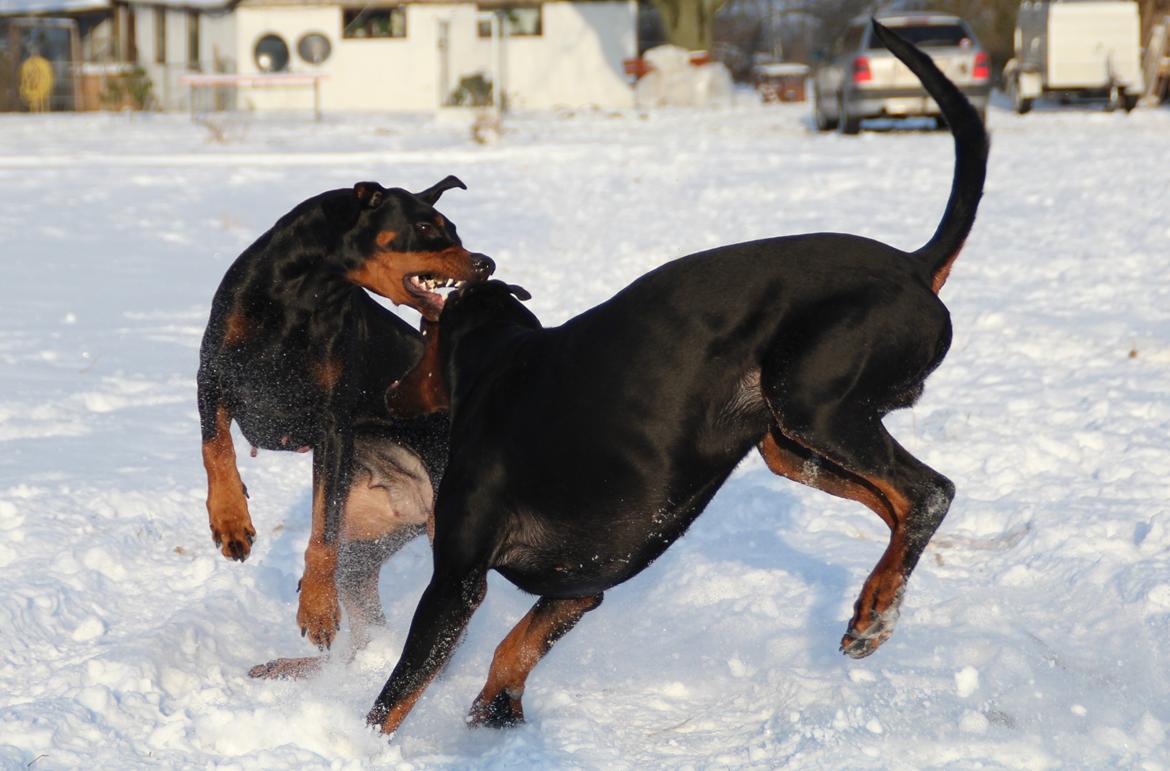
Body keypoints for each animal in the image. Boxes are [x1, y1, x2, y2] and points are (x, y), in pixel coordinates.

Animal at [198, 177, 491, 678]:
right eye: (425, 226)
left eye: (452, 228)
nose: (485, 264)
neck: (300, 294)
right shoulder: (213, 377)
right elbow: (215, 448)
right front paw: (231, 521)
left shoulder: (333, 426)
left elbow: (323, 528)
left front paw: (317, 610)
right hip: (366, 542)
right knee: (364, 625)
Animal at [367, 22, 987, 734]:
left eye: (422, 341)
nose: (389, 392)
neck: (499, 359)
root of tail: (915, 265)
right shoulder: (579, 589)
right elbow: (513, 649)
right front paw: (495, 713)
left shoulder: (456, 579)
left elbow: (395, 696)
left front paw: (364, 745)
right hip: (788, 442)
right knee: (894, 502)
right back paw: (875, 606)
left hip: (808, 401)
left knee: (928, 491)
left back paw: (877, 610)